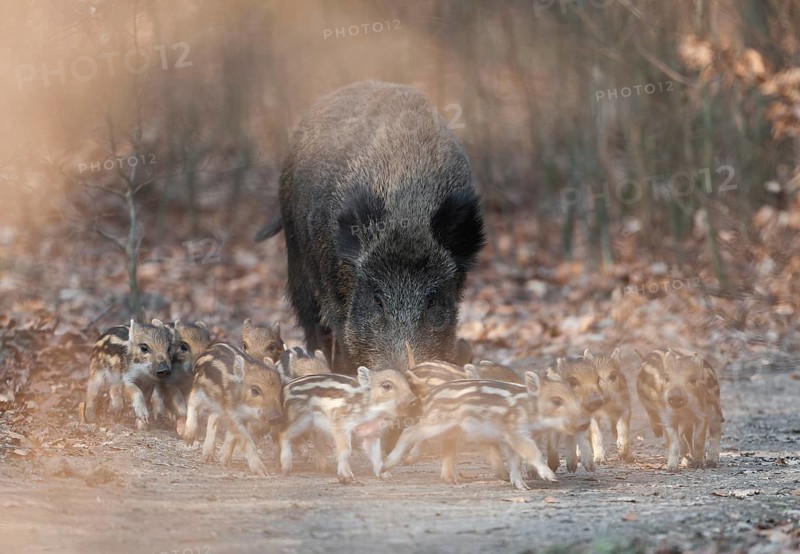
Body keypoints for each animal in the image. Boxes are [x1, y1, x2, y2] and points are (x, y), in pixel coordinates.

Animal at [183, 343, 283, 475]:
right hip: (199, 390)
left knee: (212, 419)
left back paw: (208, 457)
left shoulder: (237, 415)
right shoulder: (232, 414)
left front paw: (224, 461)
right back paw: (189, 438)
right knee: (192, 403)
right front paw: (262, 471)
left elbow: (232, 435)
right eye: (255, 390)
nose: (276, 418)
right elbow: (245, 440)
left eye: (279, 391)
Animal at [254, 81, 485, 373]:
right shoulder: (333, 284)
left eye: (432, 300)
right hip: (296, 254)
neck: (408, 208)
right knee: (309, 314)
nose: (403, 367)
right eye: (378, 300)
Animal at [278, 367, 417, 483]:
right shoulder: (341, 424)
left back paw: (324, 468)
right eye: (386, 386)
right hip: (300, 419)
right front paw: (347, 476)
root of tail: (286, 387)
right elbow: (346, 450)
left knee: (317, 440)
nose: (414, 400)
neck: (373, 410)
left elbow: (377, 455)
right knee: (284, 434)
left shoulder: (372, 433)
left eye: (406, 384)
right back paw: (286, 469)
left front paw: (385, 476)